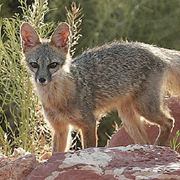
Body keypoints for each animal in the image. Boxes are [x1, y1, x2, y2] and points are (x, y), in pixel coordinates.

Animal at [19, 21, 180, 152]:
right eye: (34, 64)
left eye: (53, 65)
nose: (42, 79)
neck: (57, 99)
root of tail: (153, 49)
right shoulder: (60, 128)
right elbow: (56, 153)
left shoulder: (89, 123)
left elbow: (88, 148)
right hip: (128, 119)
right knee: (145, 141)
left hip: (144, 108)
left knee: (169, 122)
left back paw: (159, 146)